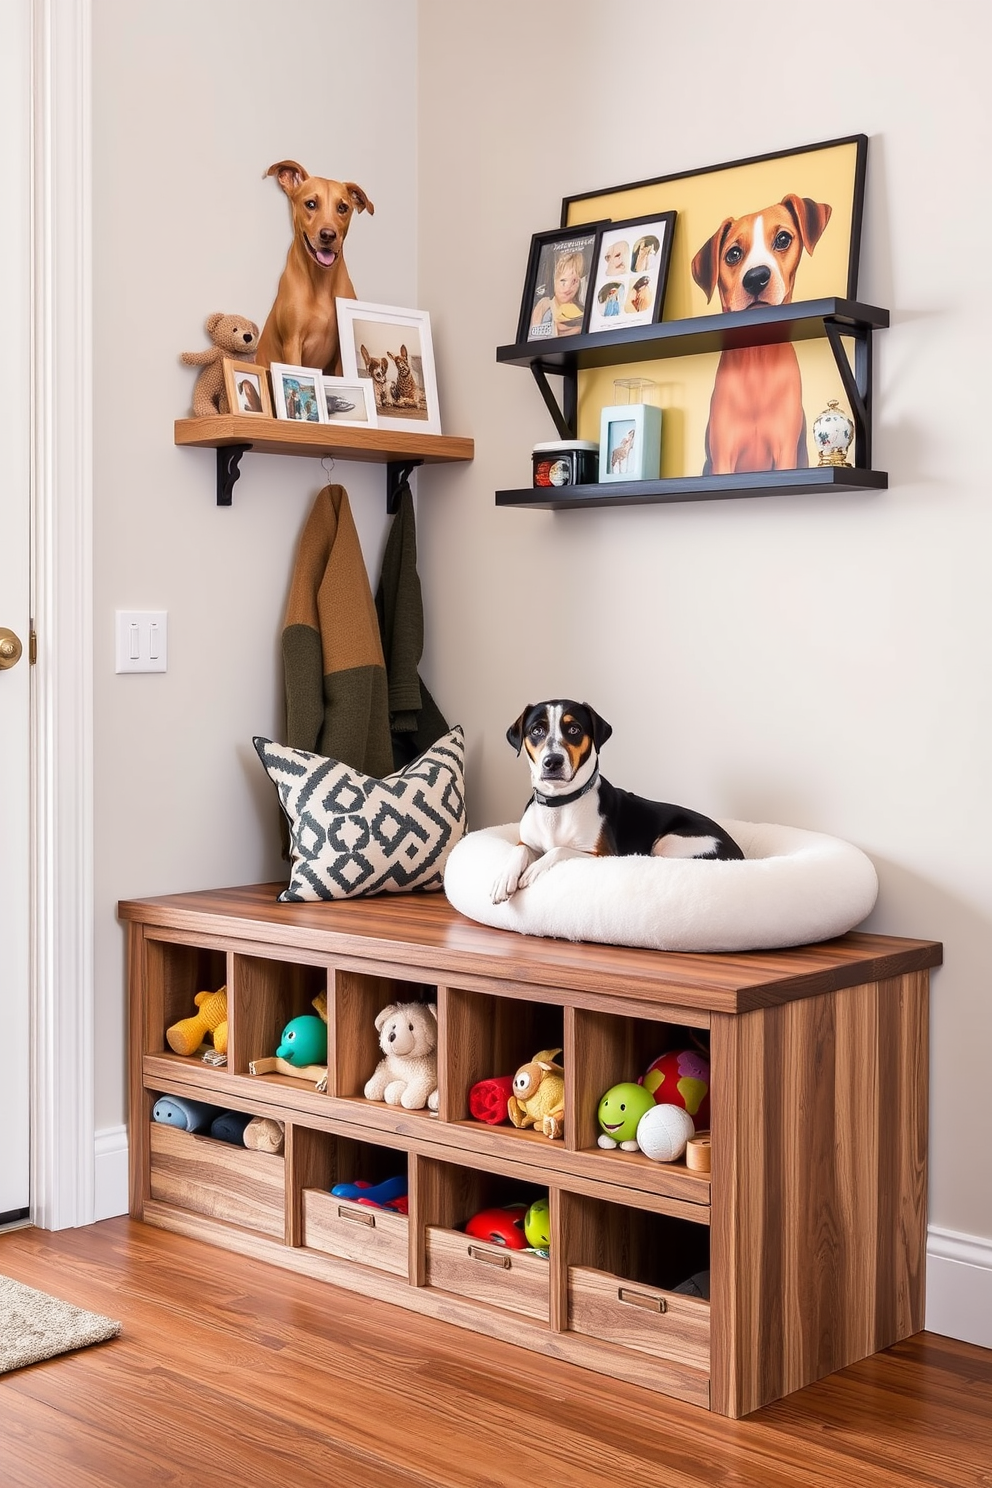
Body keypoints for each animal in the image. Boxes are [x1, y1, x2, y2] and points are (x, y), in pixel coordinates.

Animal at [258, 157, 374, 374]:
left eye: (342, 207)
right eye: (310, 204)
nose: (328, 235)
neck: (321, 282)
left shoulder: (340, 352)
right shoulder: (293, 343)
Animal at [493, 699, 740, 904]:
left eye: (574, 729)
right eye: (537, 730)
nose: (552, 761)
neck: (560, 804)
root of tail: (739, 854)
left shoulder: (603, 855)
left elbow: (559, 850)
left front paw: (533, 870)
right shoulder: (527, 842)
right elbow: (519, 850)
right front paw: (504, 879)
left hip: (670, 843)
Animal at [690, 191, 832, 470]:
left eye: (783, 239)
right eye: (733, 253)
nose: (756, 277)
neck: (756, 365)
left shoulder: (785, 452)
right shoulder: (723, 456)